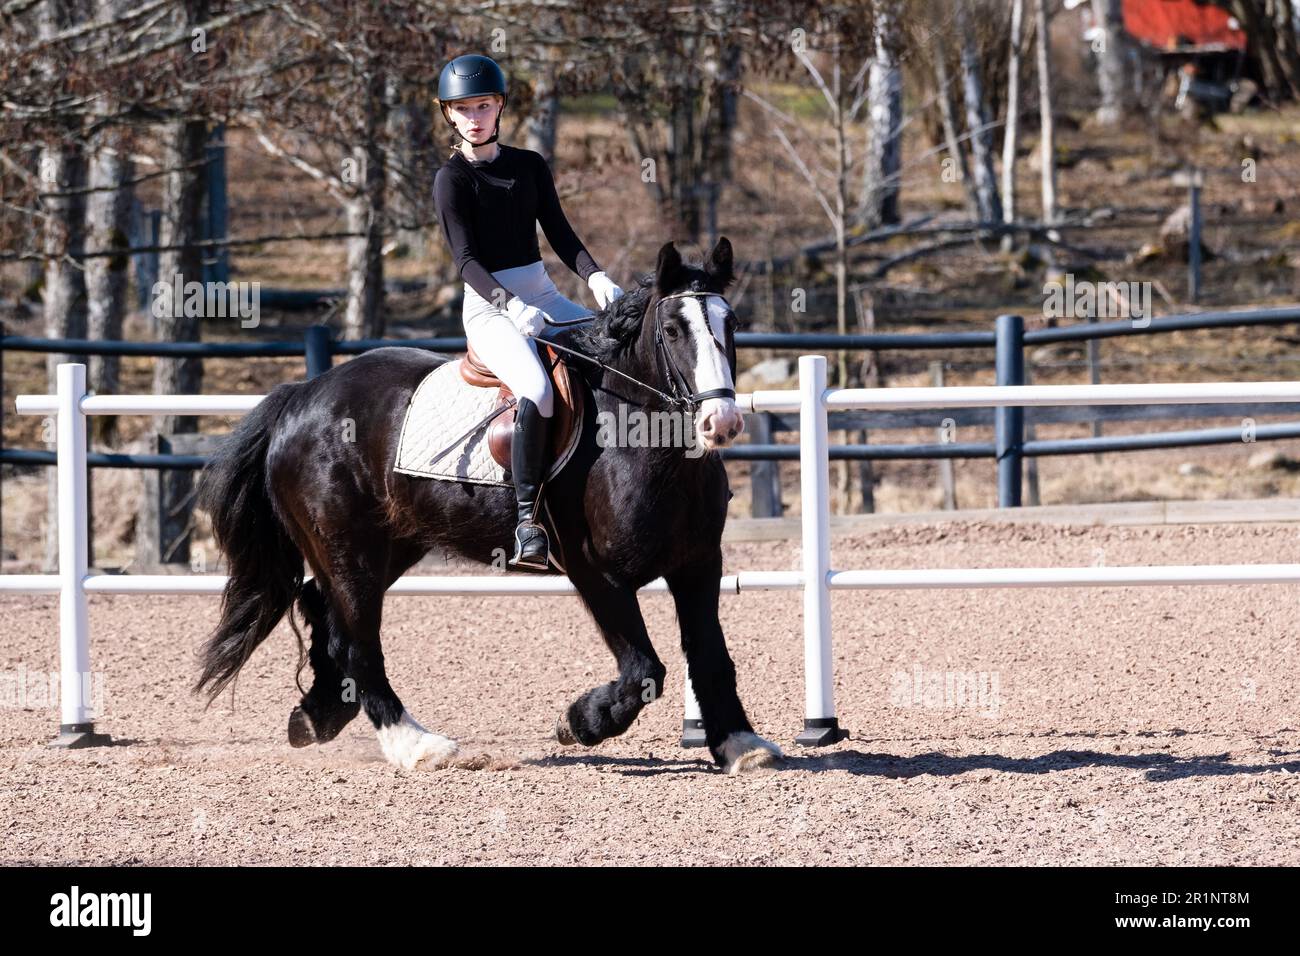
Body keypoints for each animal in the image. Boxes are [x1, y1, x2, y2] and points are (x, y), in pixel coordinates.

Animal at [192, 235, 780, 775]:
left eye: (731, 324)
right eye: (674, 329)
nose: (722, 423)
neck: (634, 434)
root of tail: (302, 395)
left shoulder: (698, 564)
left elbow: (709, 656)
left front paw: (740, 743)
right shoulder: (596, 573)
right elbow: (643, 674)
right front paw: (578, 721)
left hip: (388, 545)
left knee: (325, 612)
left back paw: (318, 716)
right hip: (349, 549)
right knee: (357, 641)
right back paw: (416, 744)